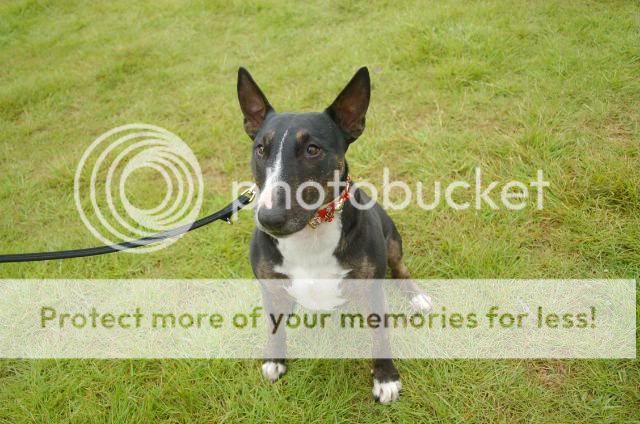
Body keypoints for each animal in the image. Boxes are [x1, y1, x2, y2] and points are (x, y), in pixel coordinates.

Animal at [237, 66, 432, 404]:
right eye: (260, 149)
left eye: (312, 149)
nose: (269, 219)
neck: (310, 233)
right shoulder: (269, 285)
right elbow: (274, 325)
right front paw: (275, 359)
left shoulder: (371, 286)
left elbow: (380, 333)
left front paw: (386, 378)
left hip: (391, 237)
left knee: (400, 267)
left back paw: (416, 295)